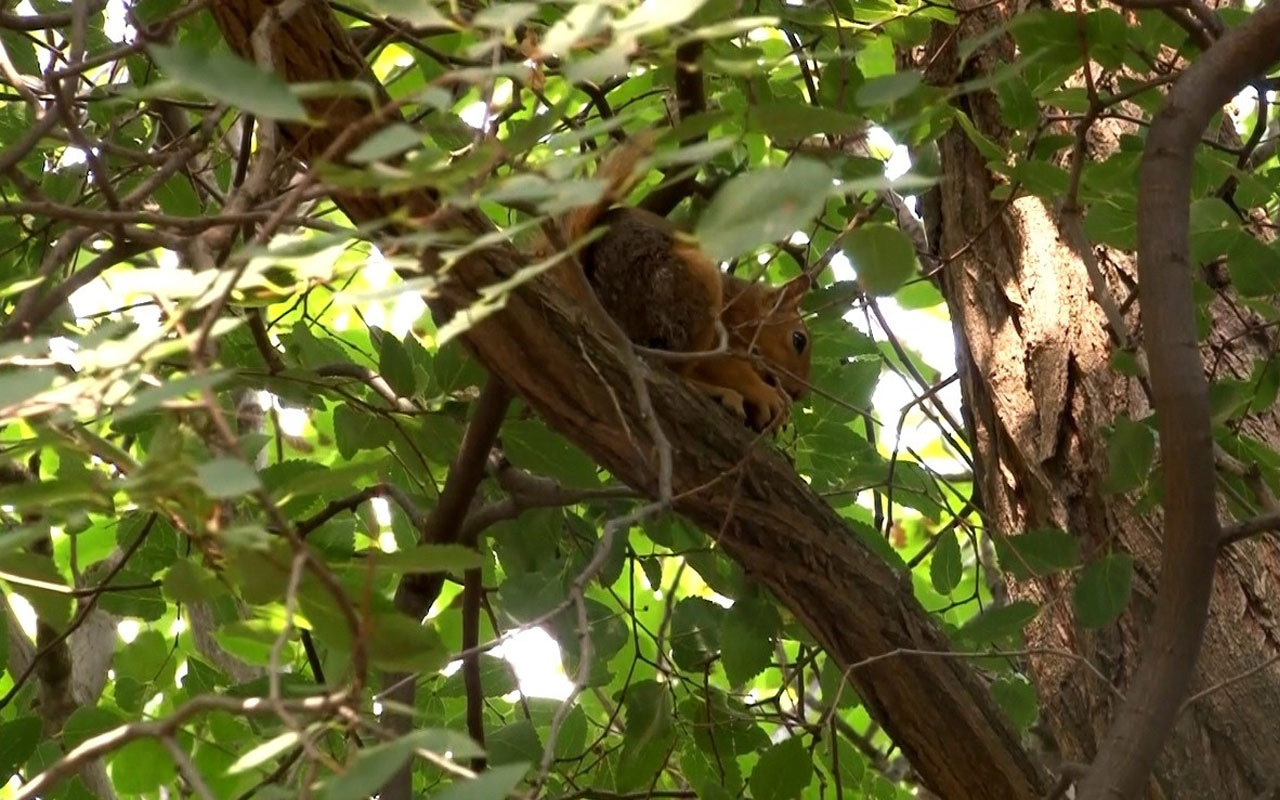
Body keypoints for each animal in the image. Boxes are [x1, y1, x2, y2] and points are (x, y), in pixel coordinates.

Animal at [547, 140, 808, 432]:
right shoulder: (726, 329)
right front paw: (766, 395)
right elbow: (728, 367)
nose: (798, 393)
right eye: (799, 340)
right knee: (671, 369)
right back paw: (716, 391)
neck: (744, 309)